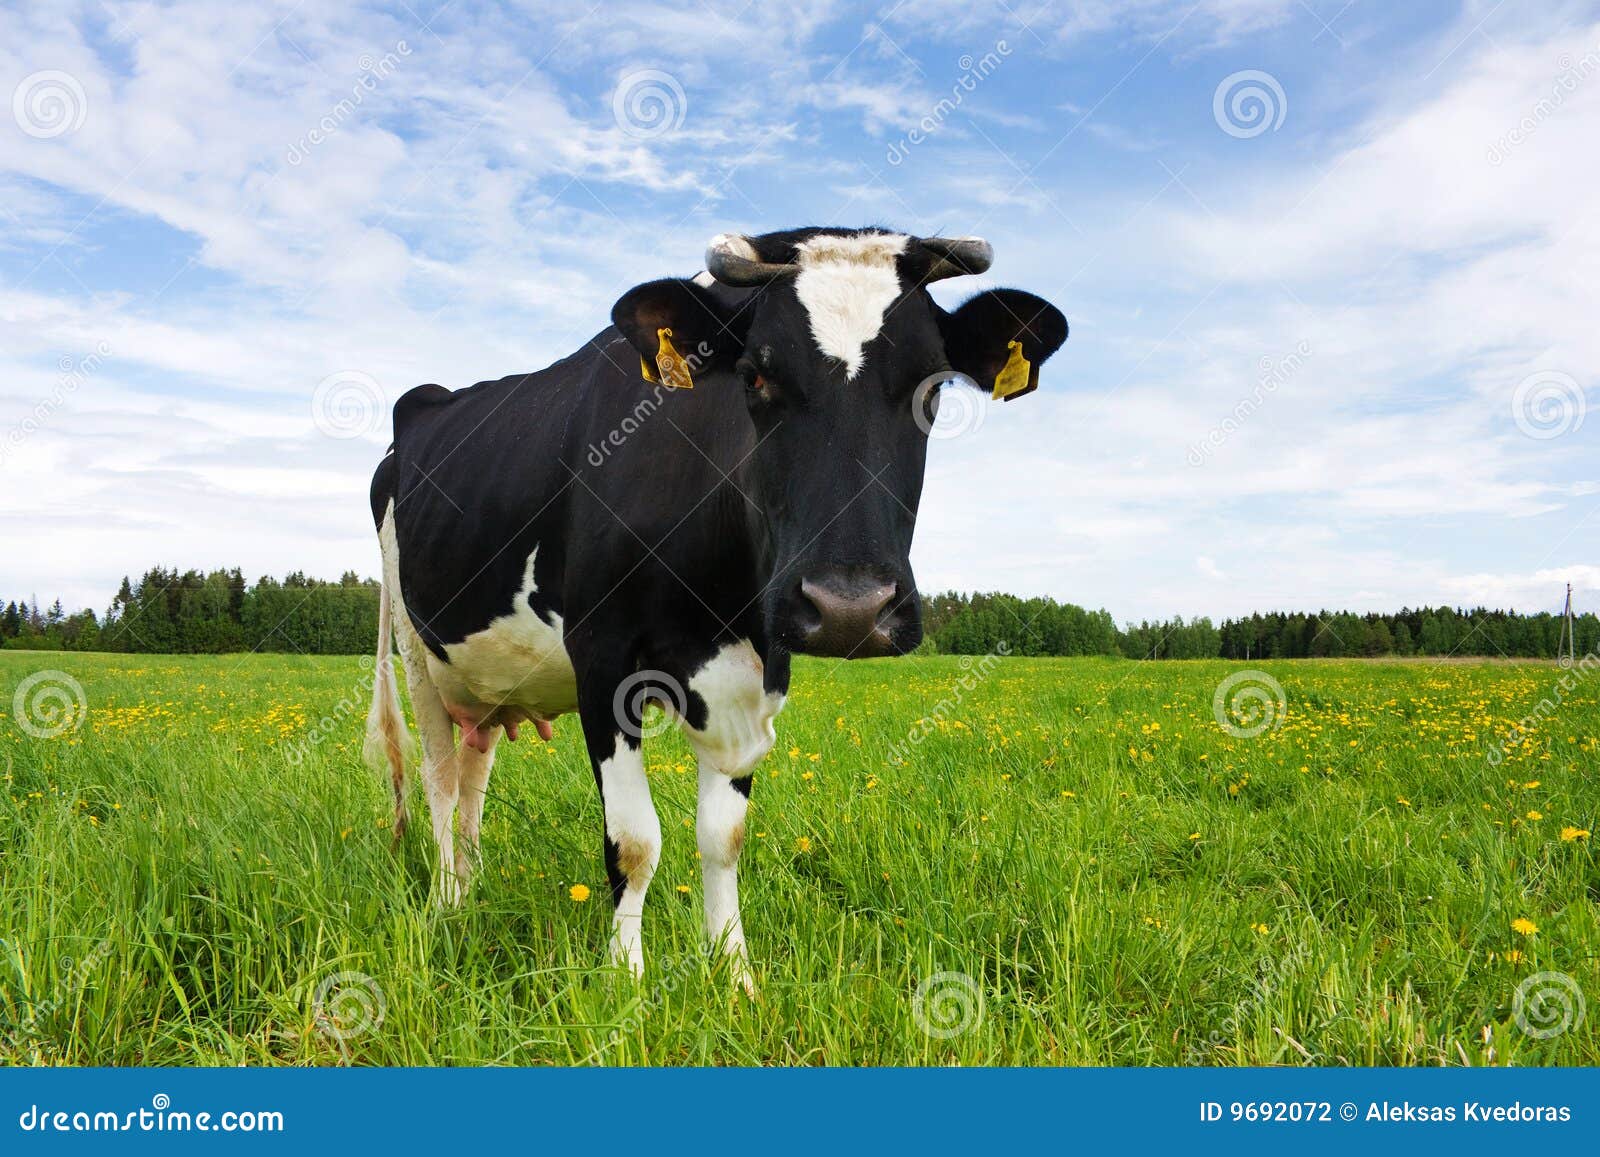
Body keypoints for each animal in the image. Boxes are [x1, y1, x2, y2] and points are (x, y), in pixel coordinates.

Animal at [362, 227, 1067, 990]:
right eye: (756, 376)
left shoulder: (758, 669)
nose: (850, 607)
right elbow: (634, 842)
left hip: (487, 686)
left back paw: (471, 888)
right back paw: (446, 906)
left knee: (473, 776)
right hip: (416, 651)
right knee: (437, 780)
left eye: (934, 386)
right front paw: (627, 981)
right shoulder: (602, 660)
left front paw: (735, 975)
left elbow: (723, 837)